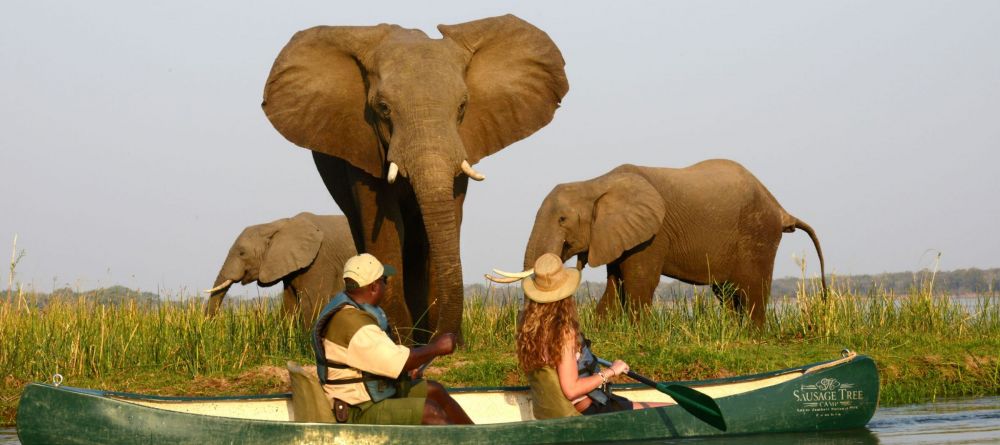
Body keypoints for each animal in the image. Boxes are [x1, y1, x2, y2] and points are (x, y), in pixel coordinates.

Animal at [262, 13, 568, 340]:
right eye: (383, 109)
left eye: (462, 106)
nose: (446, 337)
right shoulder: (362, 142)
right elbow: (382, 224)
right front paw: (397, 337)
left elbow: (448, 216)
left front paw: (442, 341)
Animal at [492, 160, 828, 326]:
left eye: (562, 219)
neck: (596, 183)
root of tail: (781, 209)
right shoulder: (617, 235)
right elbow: (615, 283)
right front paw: (604, 330)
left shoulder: (652, 235)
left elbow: (638, 282)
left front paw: (638, 334)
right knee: (727, 292)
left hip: (757, 233)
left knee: (751, 289)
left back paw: (752, 335)